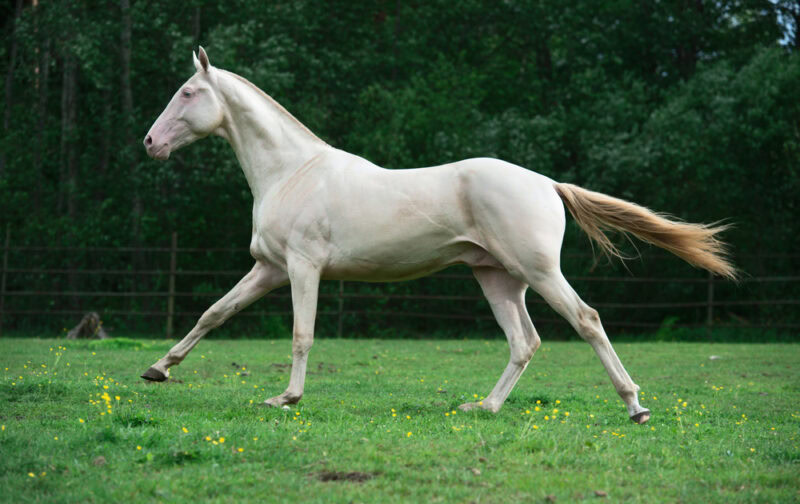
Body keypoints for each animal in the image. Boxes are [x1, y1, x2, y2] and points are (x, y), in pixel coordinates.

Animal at [141, 47, 736, 424]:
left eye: (188, 92)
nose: (150, 142)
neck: (293, 171)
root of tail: (546, 182)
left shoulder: (301, 267)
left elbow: (301, 334)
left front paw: (285, 398)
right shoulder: (267, 268)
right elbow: (213, 314)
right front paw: (156, 371)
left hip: (540, 272)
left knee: (586, 320)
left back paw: (636, 406)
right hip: (498, 279)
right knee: (524, 342)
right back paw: (484, 408)